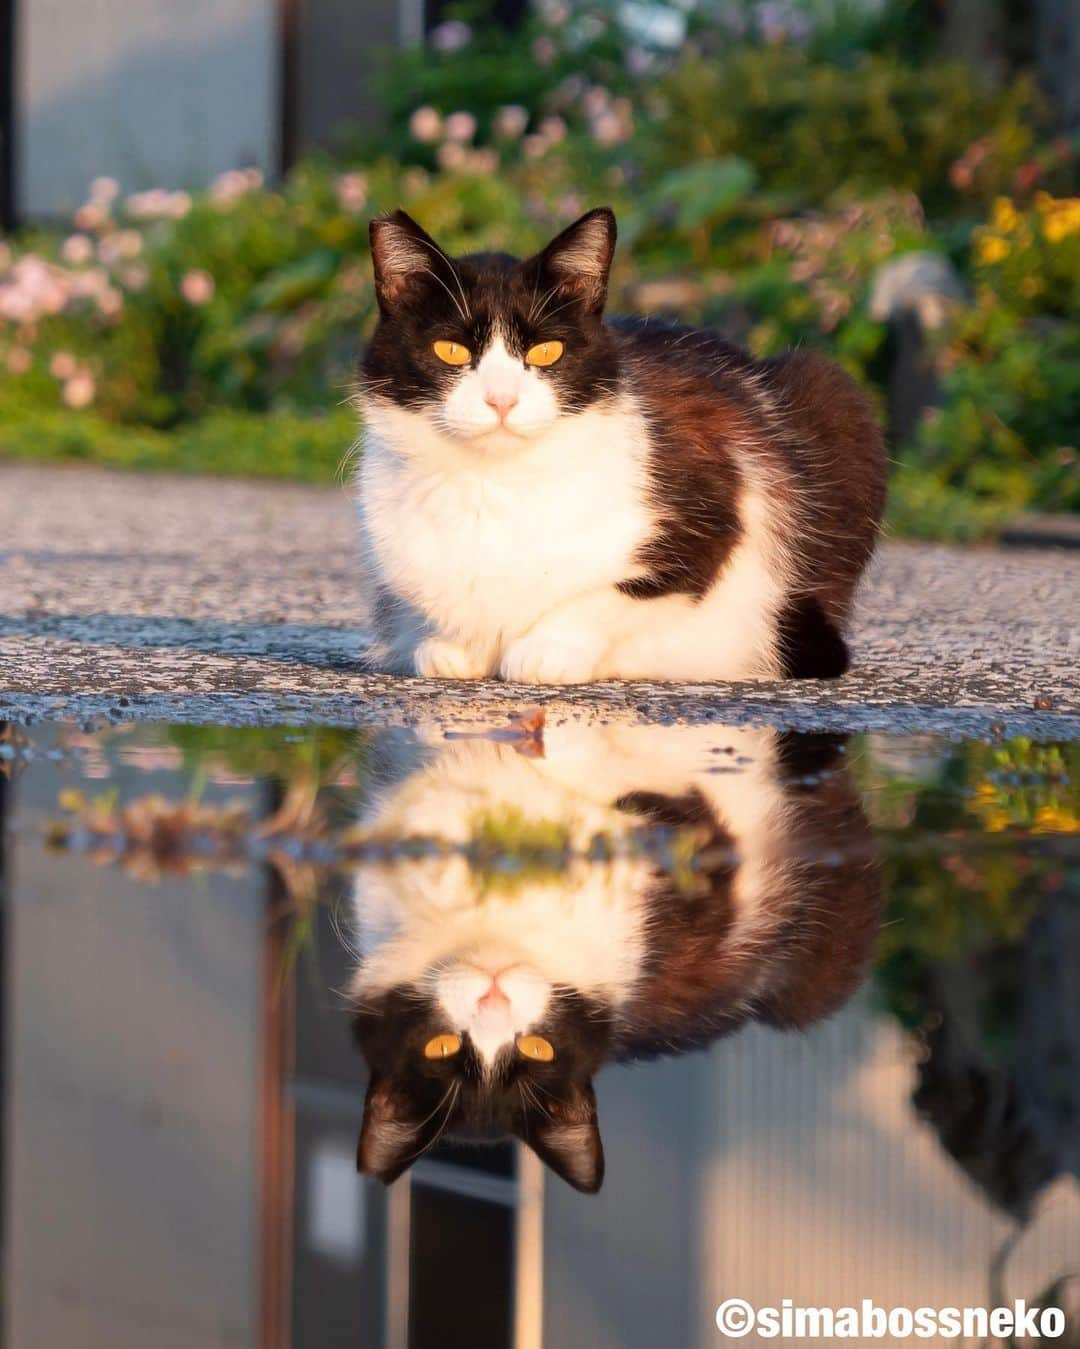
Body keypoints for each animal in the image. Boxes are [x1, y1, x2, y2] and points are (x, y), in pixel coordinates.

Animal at [353, 207, 884, 685]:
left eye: (546, 351)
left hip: (835, 389)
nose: (501, 399)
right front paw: (448, 645)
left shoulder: (711, 513)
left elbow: (616, 593)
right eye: (451, 351)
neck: (494, 482)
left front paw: (546, 650)